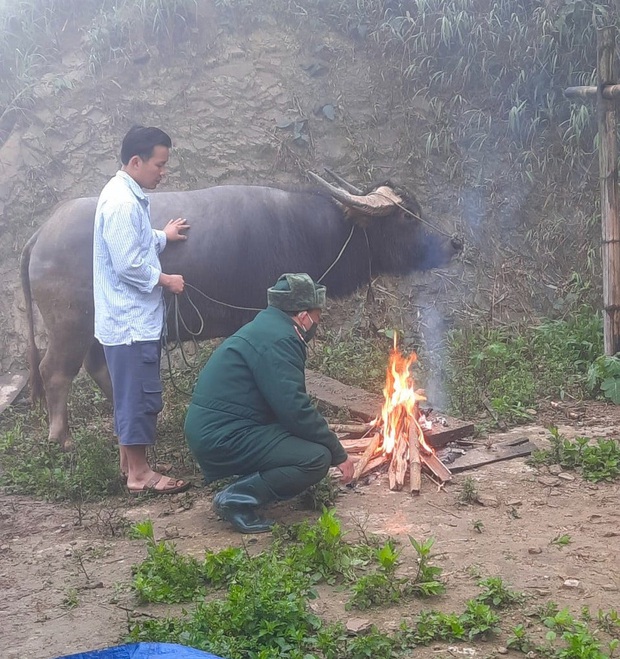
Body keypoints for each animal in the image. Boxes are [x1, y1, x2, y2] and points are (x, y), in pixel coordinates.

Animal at [19, 173, 460, 448]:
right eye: (407, 217)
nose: (454, 243)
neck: (311, 231)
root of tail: (41, 232)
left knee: (98, 367)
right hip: (70, 326)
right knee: (55, 372)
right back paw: (63, 439)